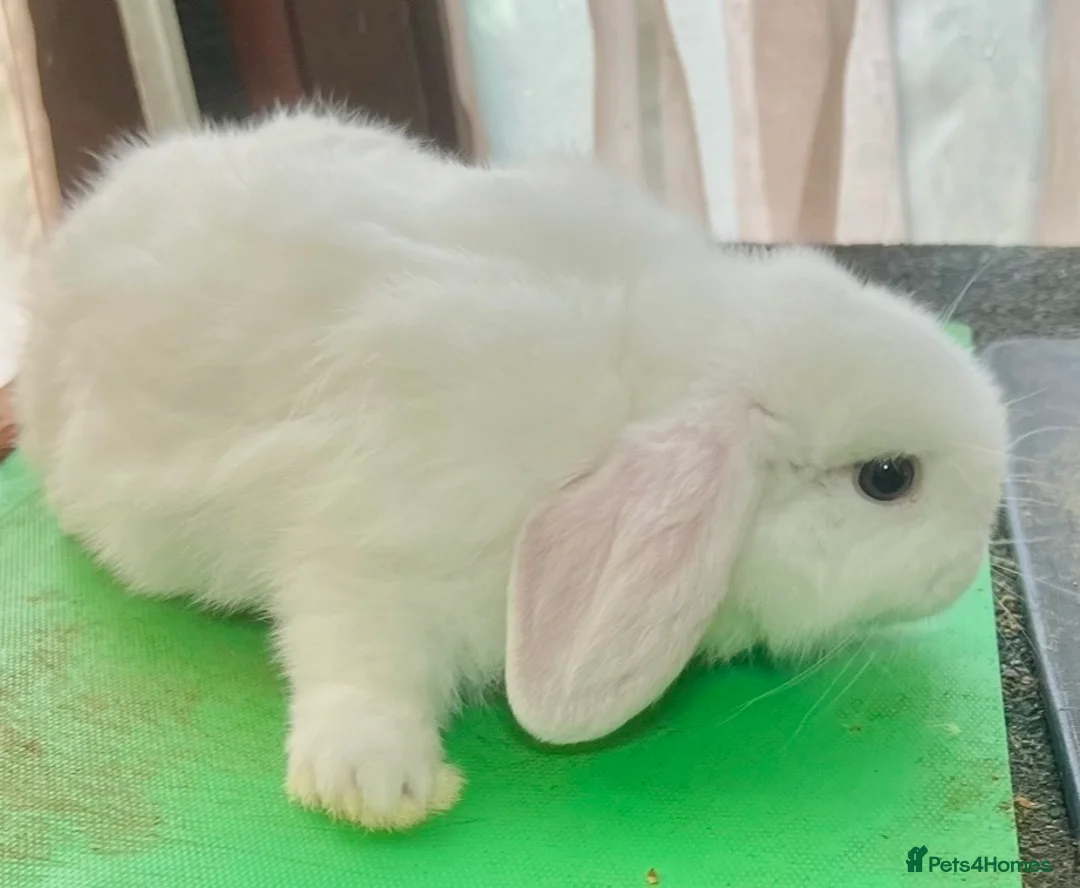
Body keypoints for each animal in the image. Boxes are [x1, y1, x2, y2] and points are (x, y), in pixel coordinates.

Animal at [14, 107, 1008, 831]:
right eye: (889, 477)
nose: (968, 564)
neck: (637, 378)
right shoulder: (374, 540)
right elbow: (352, 649)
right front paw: (376, 782)